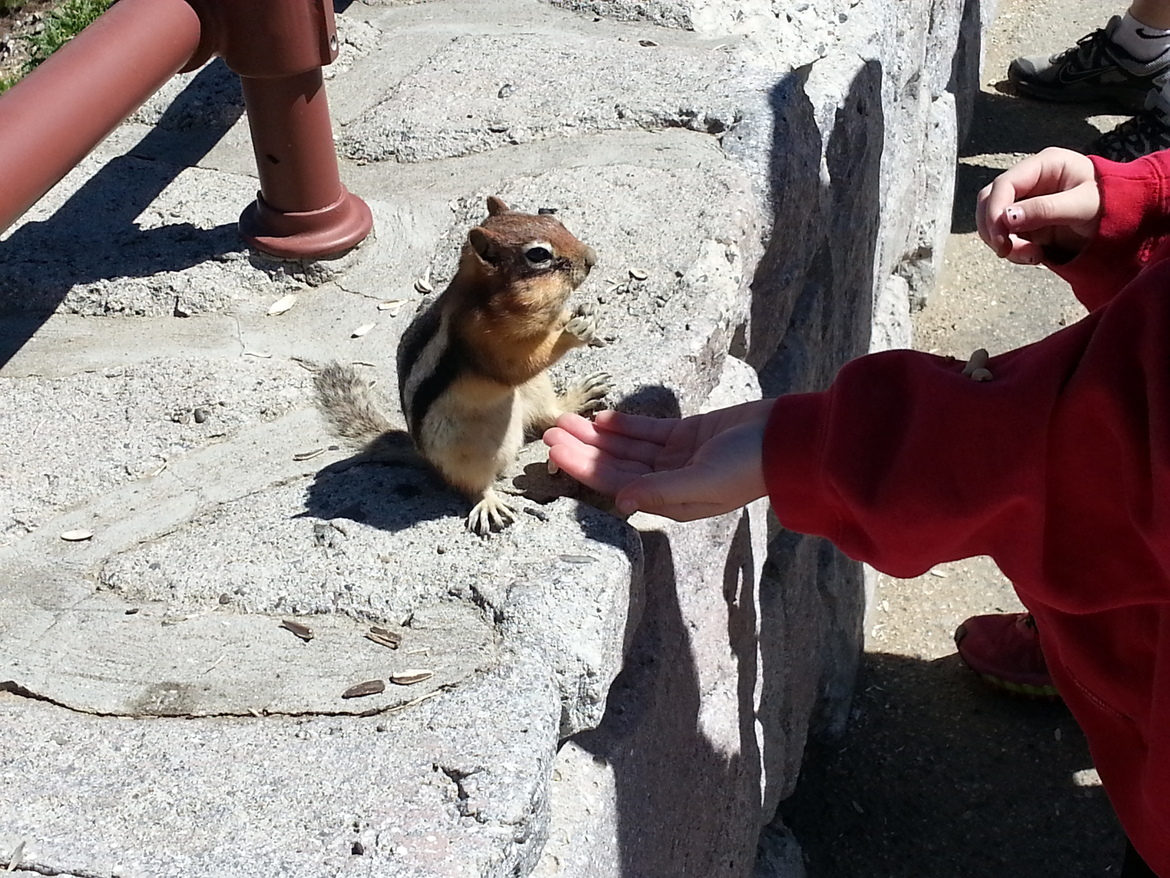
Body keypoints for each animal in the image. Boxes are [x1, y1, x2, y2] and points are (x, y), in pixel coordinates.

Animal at [314, 196, 610, 534]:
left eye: (554, 221)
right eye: (538, 254)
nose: (592, 258)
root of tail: (425, 456)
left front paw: (583, 315)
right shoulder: (482, 337)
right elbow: (517, 365)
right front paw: (573, 333)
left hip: (535, 390)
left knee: (549, 414)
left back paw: (579, 396)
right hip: (469, 449)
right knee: (471, 484)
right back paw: (488, 503)